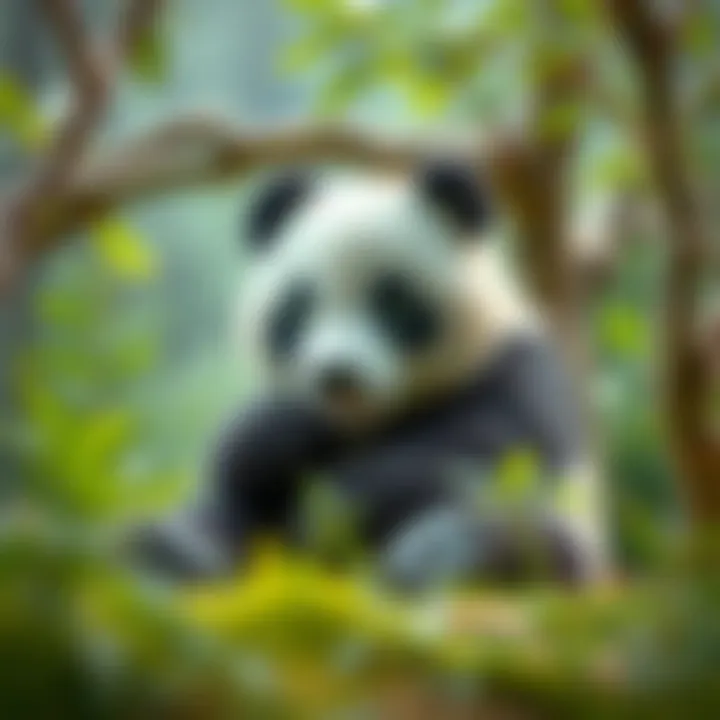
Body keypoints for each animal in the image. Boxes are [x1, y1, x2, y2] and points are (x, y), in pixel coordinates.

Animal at [136, 161, 608, 593]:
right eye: (302, 304)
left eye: (390, 301)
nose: (338, 376)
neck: (368, 425)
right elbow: (238, 466)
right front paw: (281, 433)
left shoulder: (513, 366)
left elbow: (487, 446)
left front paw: (325, 506)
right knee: (209, 522)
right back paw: (166, 554)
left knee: (520, 541)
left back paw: (430, 564)